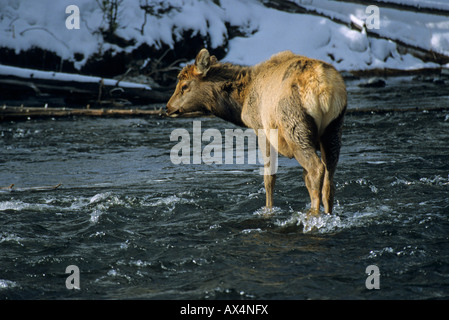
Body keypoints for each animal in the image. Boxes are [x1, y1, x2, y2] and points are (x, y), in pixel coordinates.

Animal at [166, 49, 344, 215]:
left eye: (184, 86)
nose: (168, 107)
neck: (242, 100)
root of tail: (323, 88)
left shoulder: (262, 130)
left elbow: (269, 177)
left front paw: (268, 210)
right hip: (333, 129)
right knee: (329, 181)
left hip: (295, 128)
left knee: (316, 169)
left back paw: (313, 215)